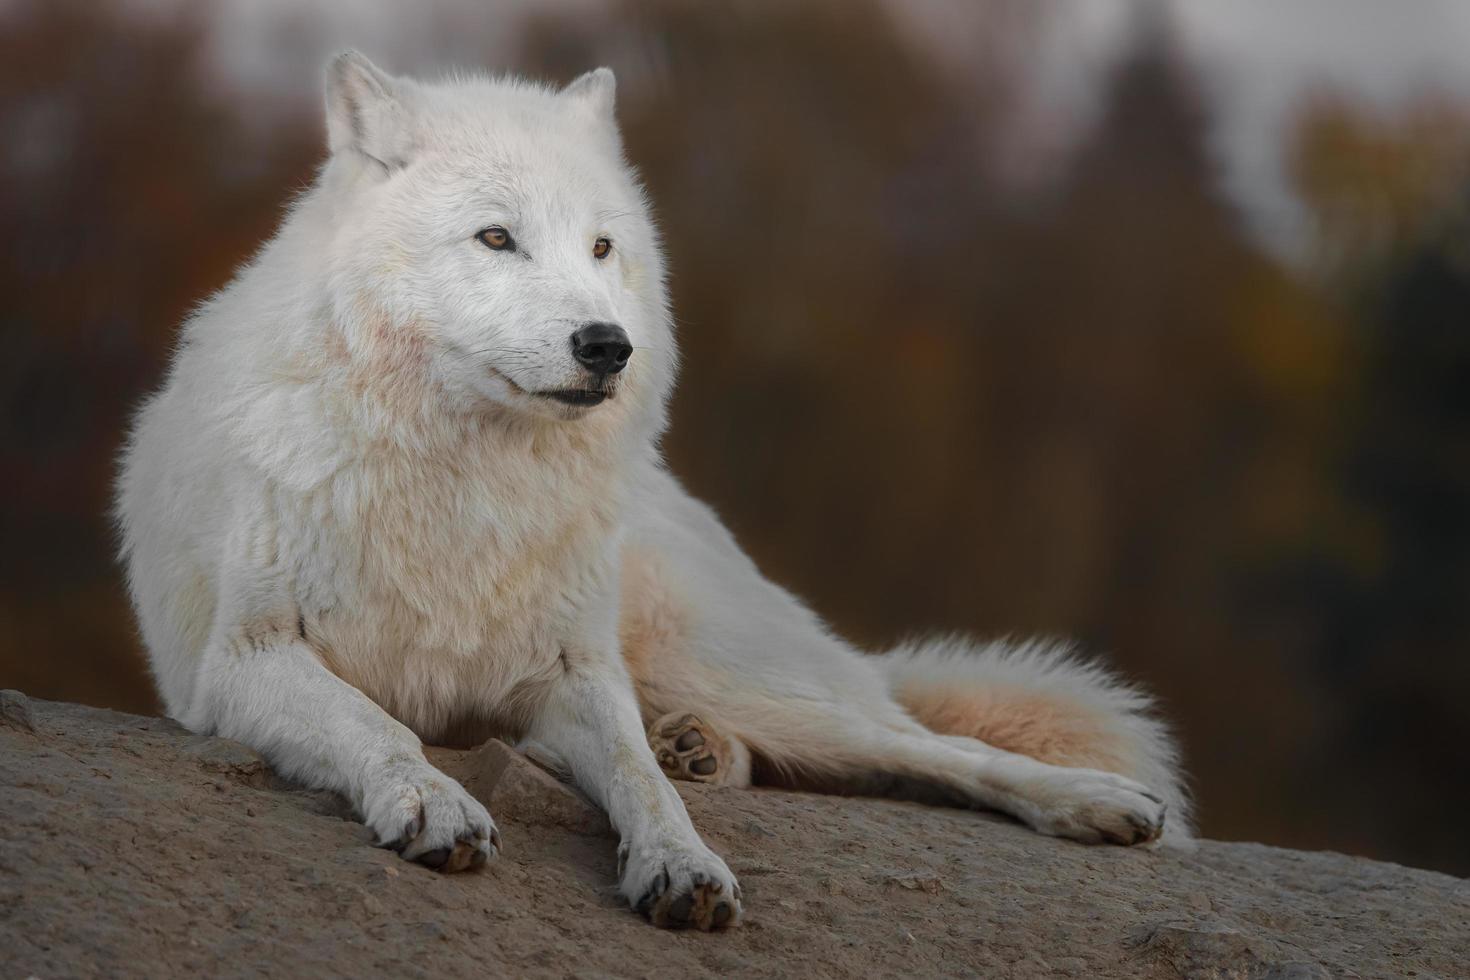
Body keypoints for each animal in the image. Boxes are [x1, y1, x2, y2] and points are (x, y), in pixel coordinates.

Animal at [117, 53, 1193, 934]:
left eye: (601, 249)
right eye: (496, 238)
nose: (607, 345)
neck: (469, 485)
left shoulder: (575, 672)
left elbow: (638, 780)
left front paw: (684, 863)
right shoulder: (242, 662)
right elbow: (374, 723)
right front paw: (435, 801)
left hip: (722, 667)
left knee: (922, 745)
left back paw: (1096, 801)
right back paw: (698, 749)